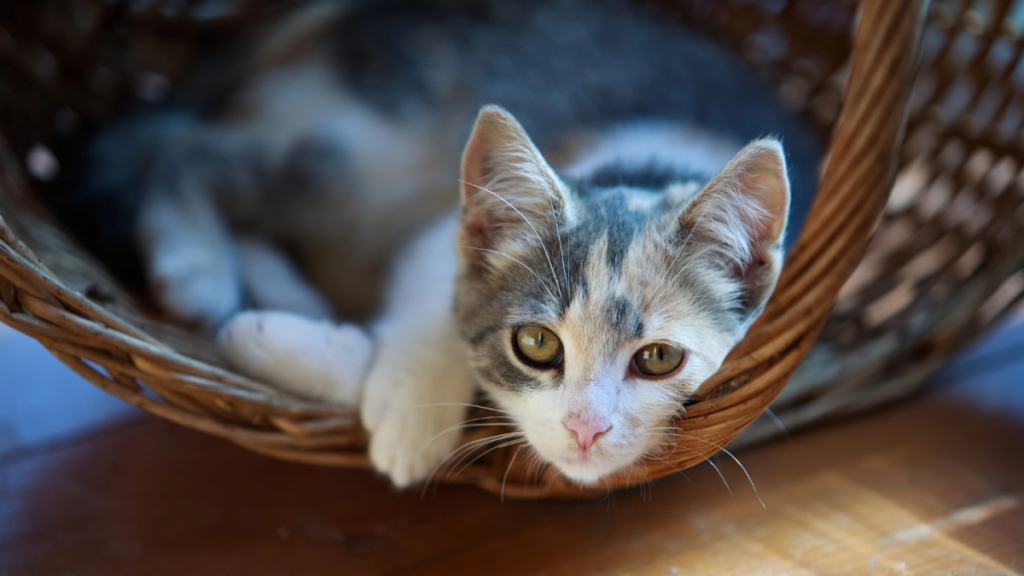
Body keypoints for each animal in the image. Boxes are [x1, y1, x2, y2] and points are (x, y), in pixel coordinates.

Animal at [75, 0, 819, 485]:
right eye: (537, 344)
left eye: (659, 358)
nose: (585, 429)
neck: (643, 169)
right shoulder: (444, 230)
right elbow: (436, 303)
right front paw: (407, 410)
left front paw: (295, 345)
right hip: (365, 149)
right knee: (183, 150)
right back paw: (196, 265)